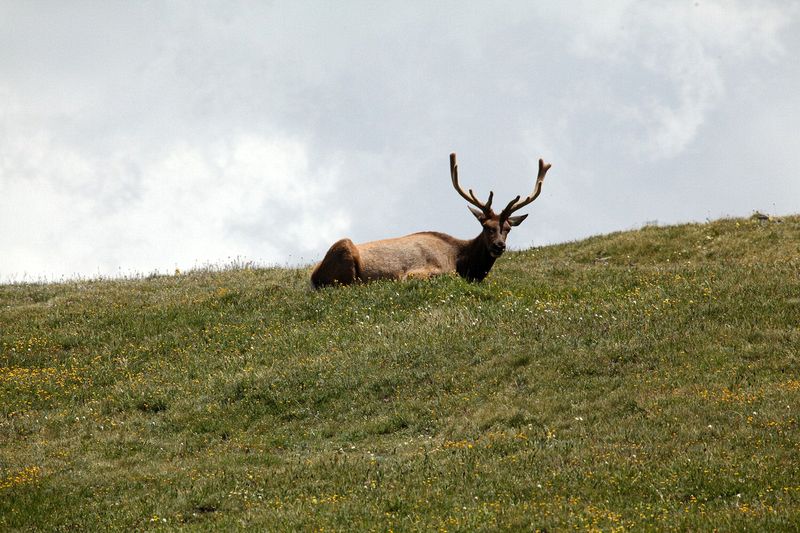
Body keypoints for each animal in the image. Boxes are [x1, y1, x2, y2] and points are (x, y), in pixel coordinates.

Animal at [310, 153, 552, 289]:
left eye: (508, 228)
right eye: (486, 227)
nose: (499, 246)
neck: (463, 263)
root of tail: (313, 277)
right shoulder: (425, 271)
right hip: (344, 248)